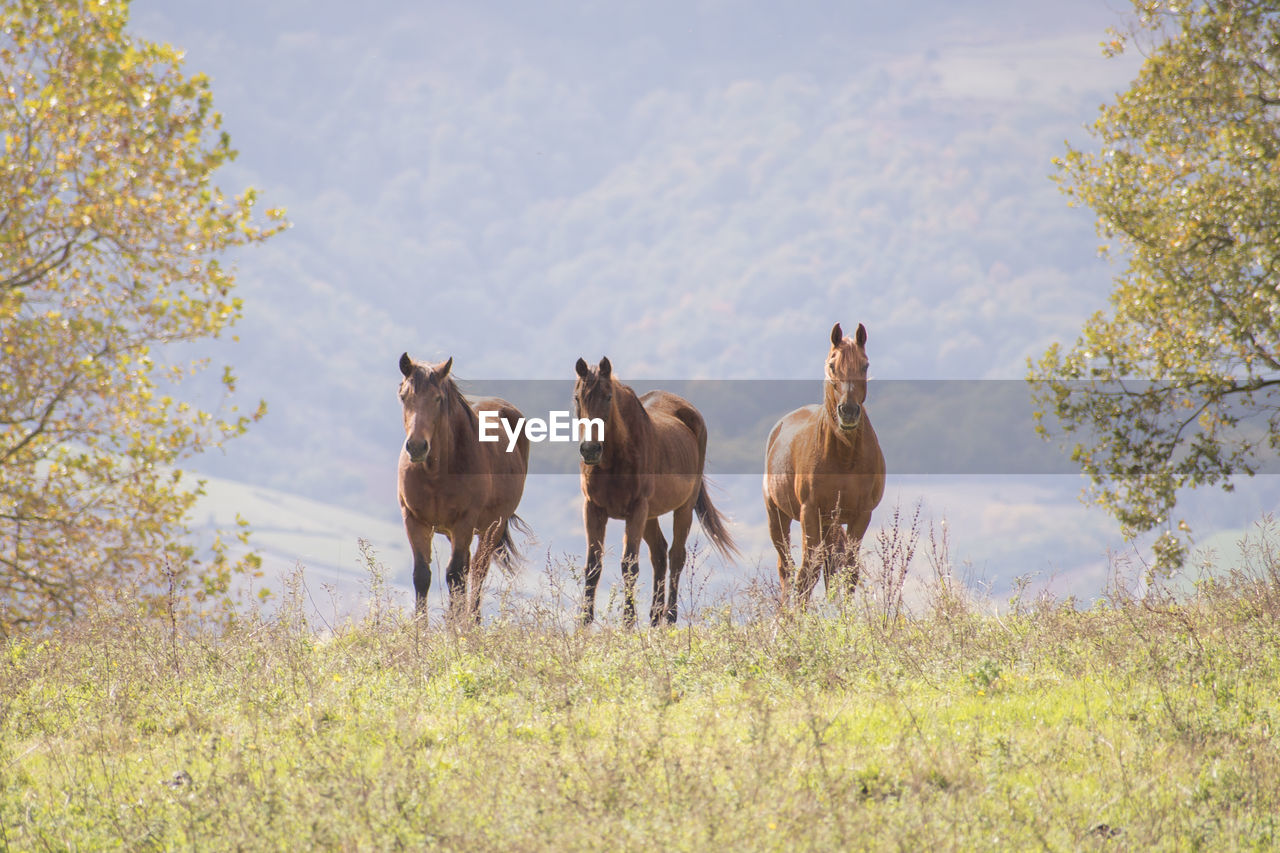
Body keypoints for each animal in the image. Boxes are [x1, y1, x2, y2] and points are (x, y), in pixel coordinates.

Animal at [391, 350, 527, 617]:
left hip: (491, 528)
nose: (417, 446)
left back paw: (472, 620)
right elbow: (422, 575)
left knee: (477, 571)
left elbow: (455, 576)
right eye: (403, 396)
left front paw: (455, 627)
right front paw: (419, 627)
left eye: (438, 398)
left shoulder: (464, 522)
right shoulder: (414, 520)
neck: (436, 473)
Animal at [573, 356, 742, 622]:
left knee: (676, 556)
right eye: (577, 398)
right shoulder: (593, 509)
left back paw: (669, 617)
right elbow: (593, 565)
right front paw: (584, 623)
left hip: (682, 508)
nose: (590, 449)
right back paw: (654, 618)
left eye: (608, 397)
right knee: (660, 554)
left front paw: (628, 623)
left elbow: (629, 565)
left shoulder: (636, 510)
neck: (615, 460)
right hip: (650, 516)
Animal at [762, 320, 885, 604]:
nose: (848, 412)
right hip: (778, 516)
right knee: (787, 569)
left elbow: (848, 573)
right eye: (832, 365)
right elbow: (807, 572)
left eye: (865, 365)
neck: (844, 458)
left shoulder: (861, 515)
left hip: (829, 524)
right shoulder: (810, 512)